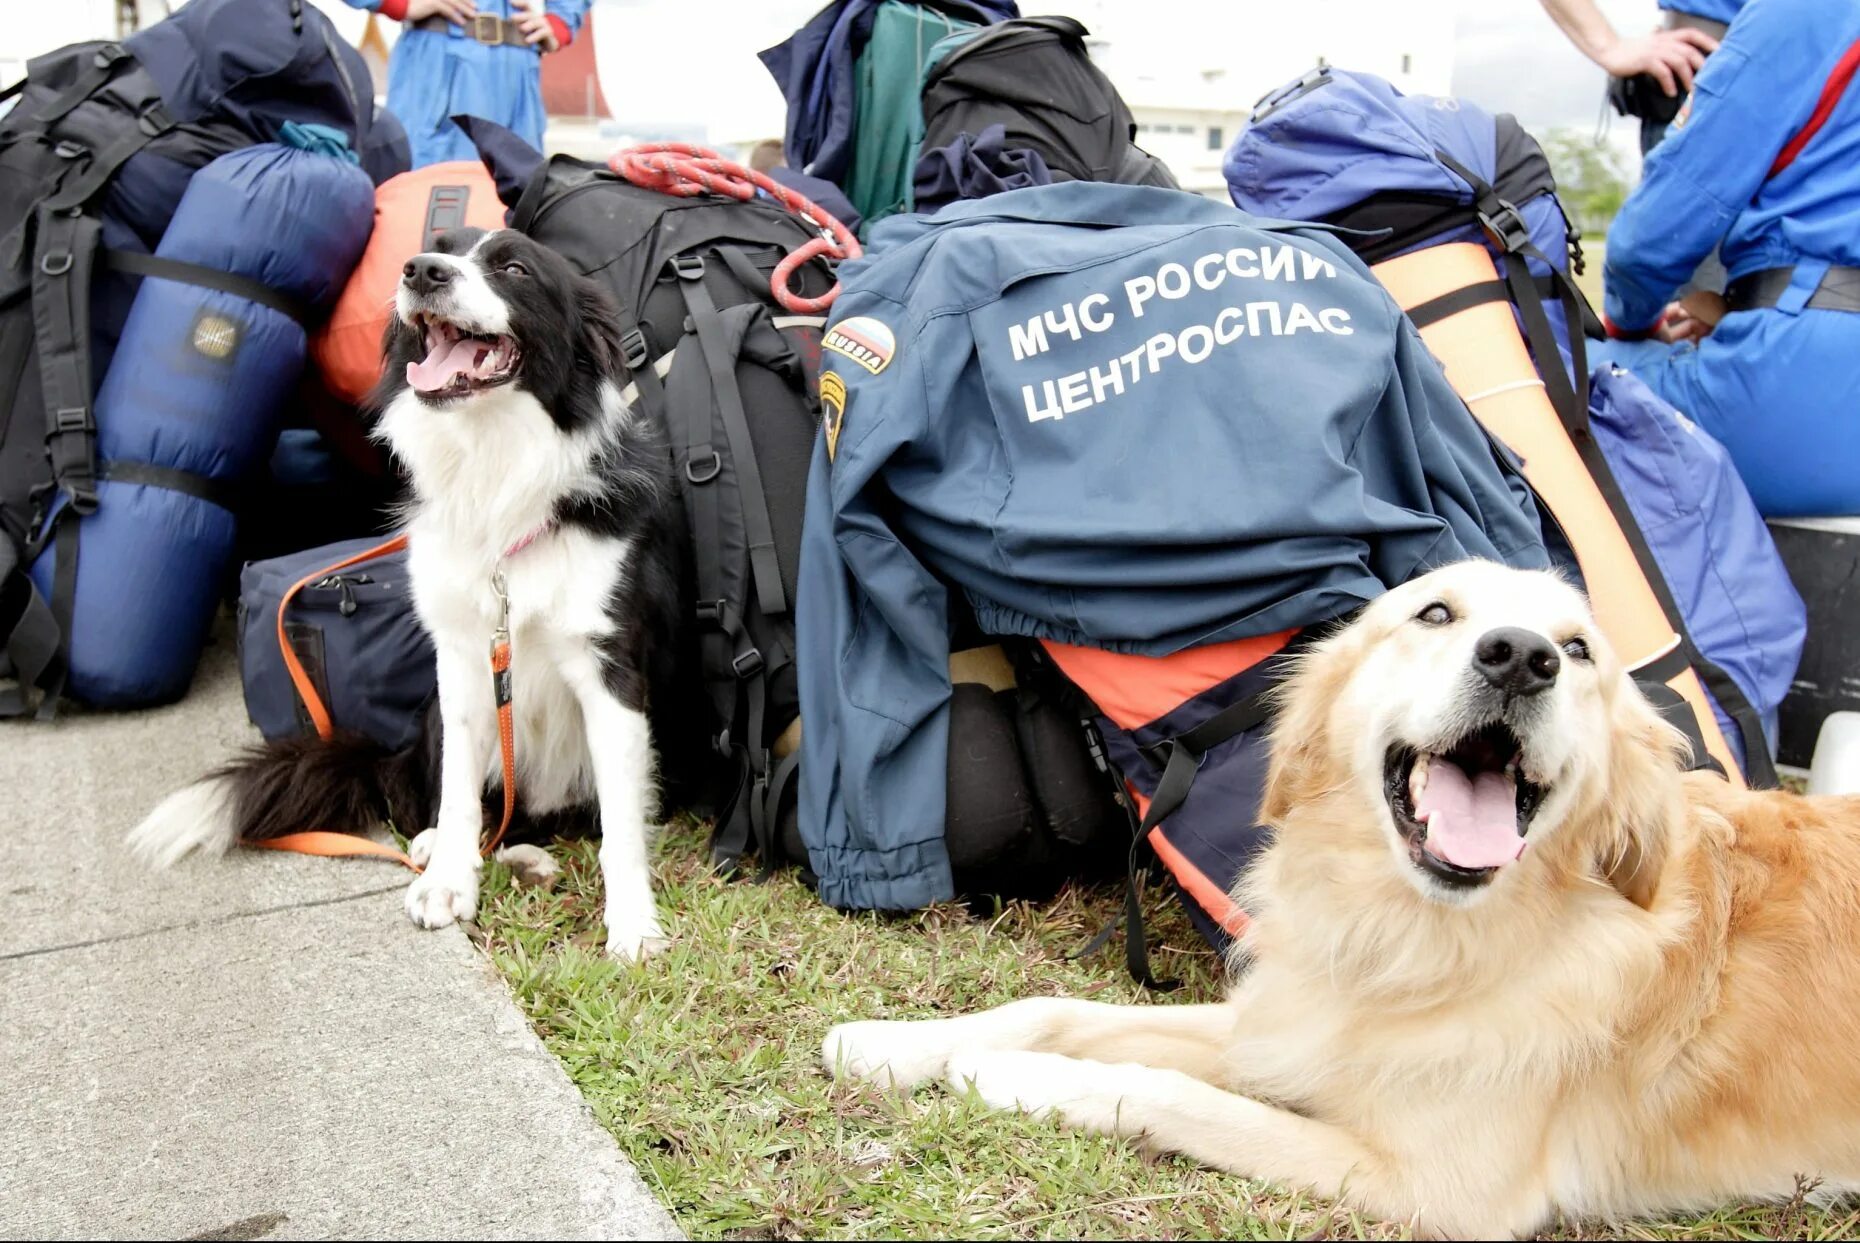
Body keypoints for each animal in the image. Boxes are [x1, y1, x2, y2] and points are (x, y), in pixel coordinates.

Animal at [822, 561, 1860, 1235]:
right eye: (1435, 613)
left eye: (1578, 650)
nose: (1521, 656)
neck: (1414, 937)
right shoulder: (1290, 1024)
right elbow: (1056, 1008)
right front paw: (890, 1043)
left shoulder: (1438, 1185)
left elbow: (1165, 1092)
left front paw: (1012, 1078)